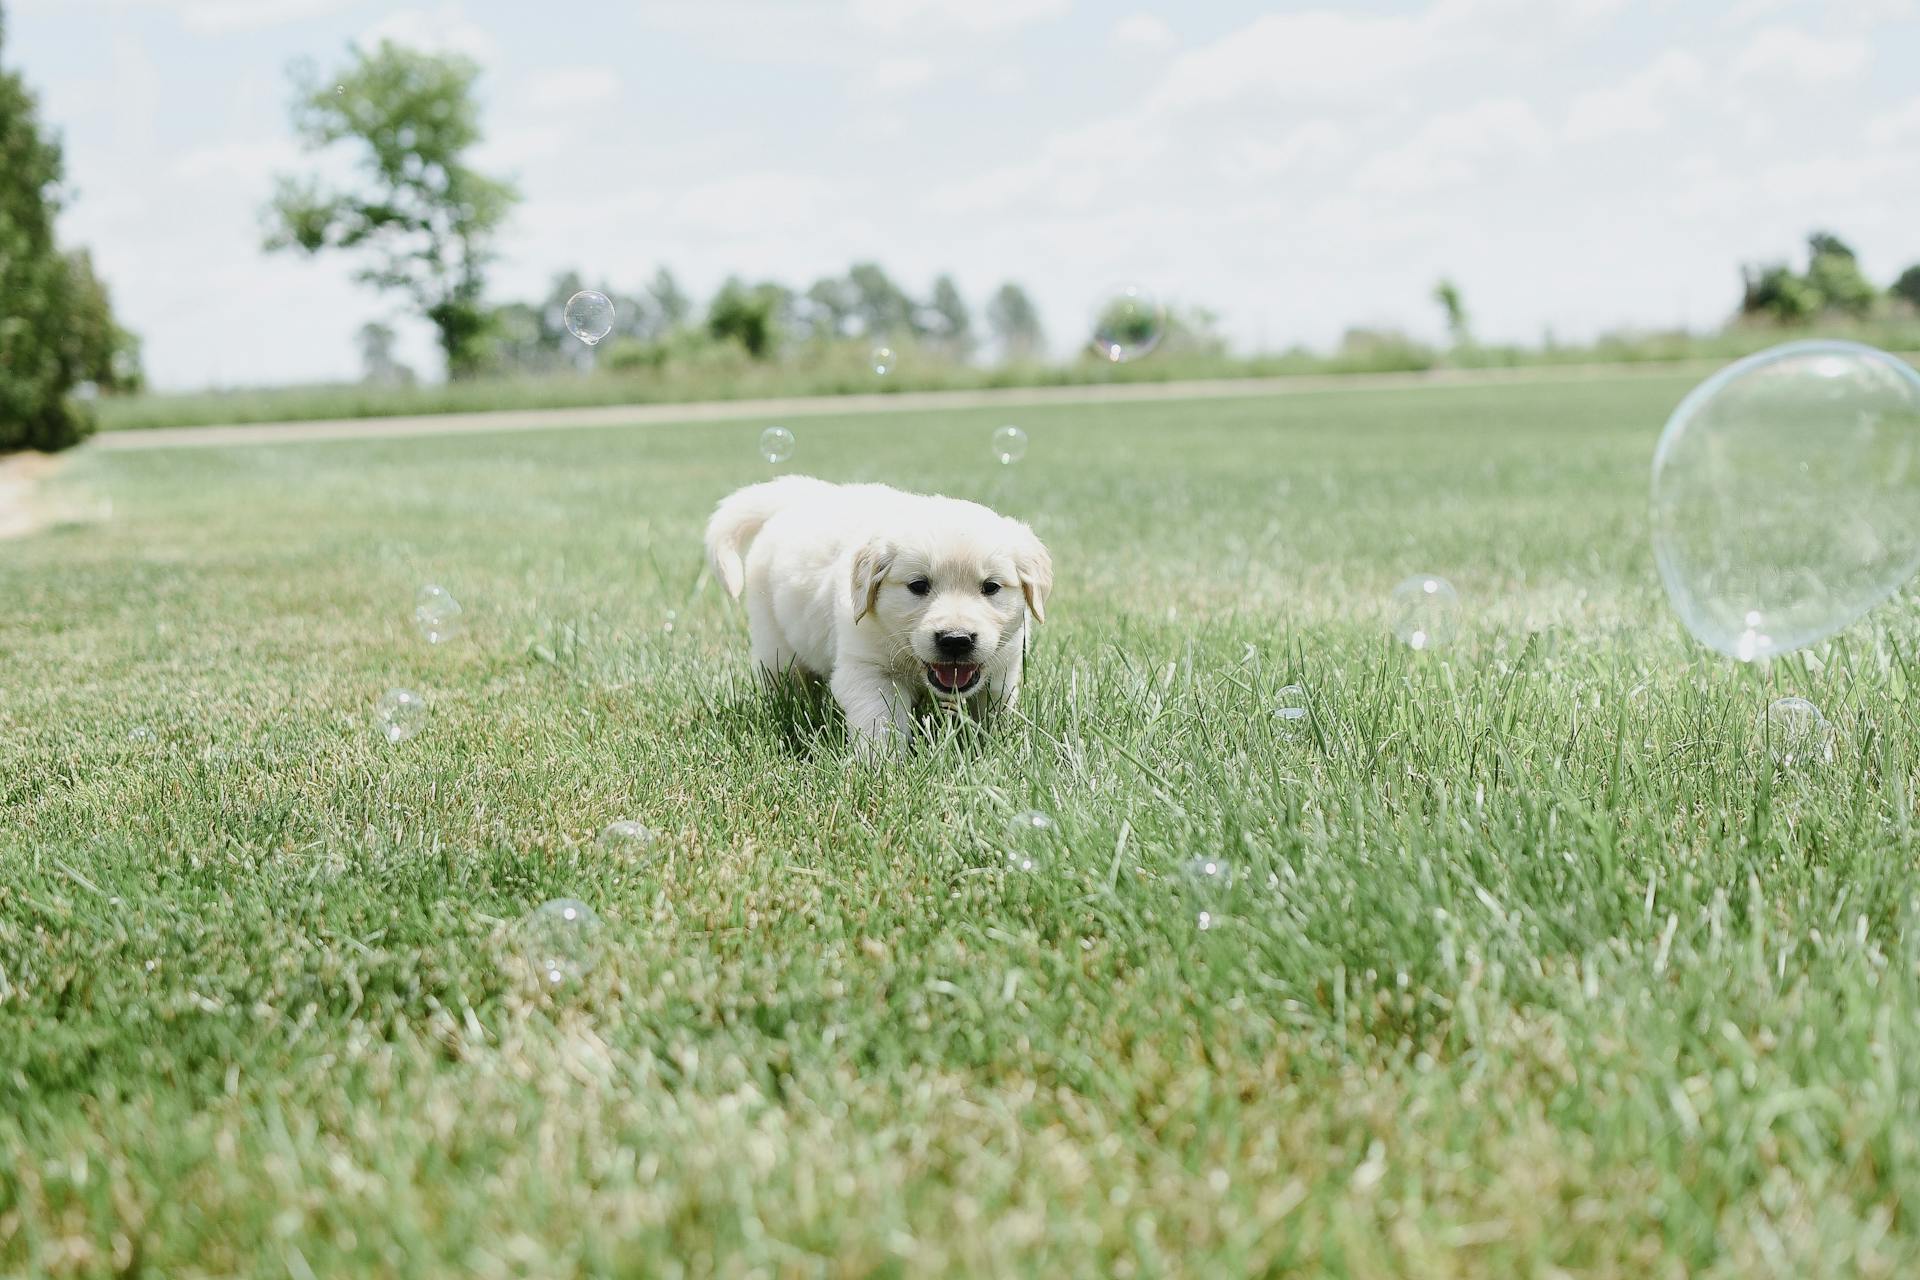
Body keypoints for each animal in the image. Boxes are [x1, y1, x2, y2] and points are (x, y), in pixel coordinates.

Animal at [714, 475, 1059, 752]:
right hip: (775, 646)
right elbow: (880, 720)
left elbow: (990, 712)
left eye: (990, 587)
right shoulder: (868, 670)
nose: (955, 640)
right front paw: (879, 766)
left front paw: (991, 747)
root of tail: (801, 496)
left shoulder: (1002, 669)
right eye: (918, 586)